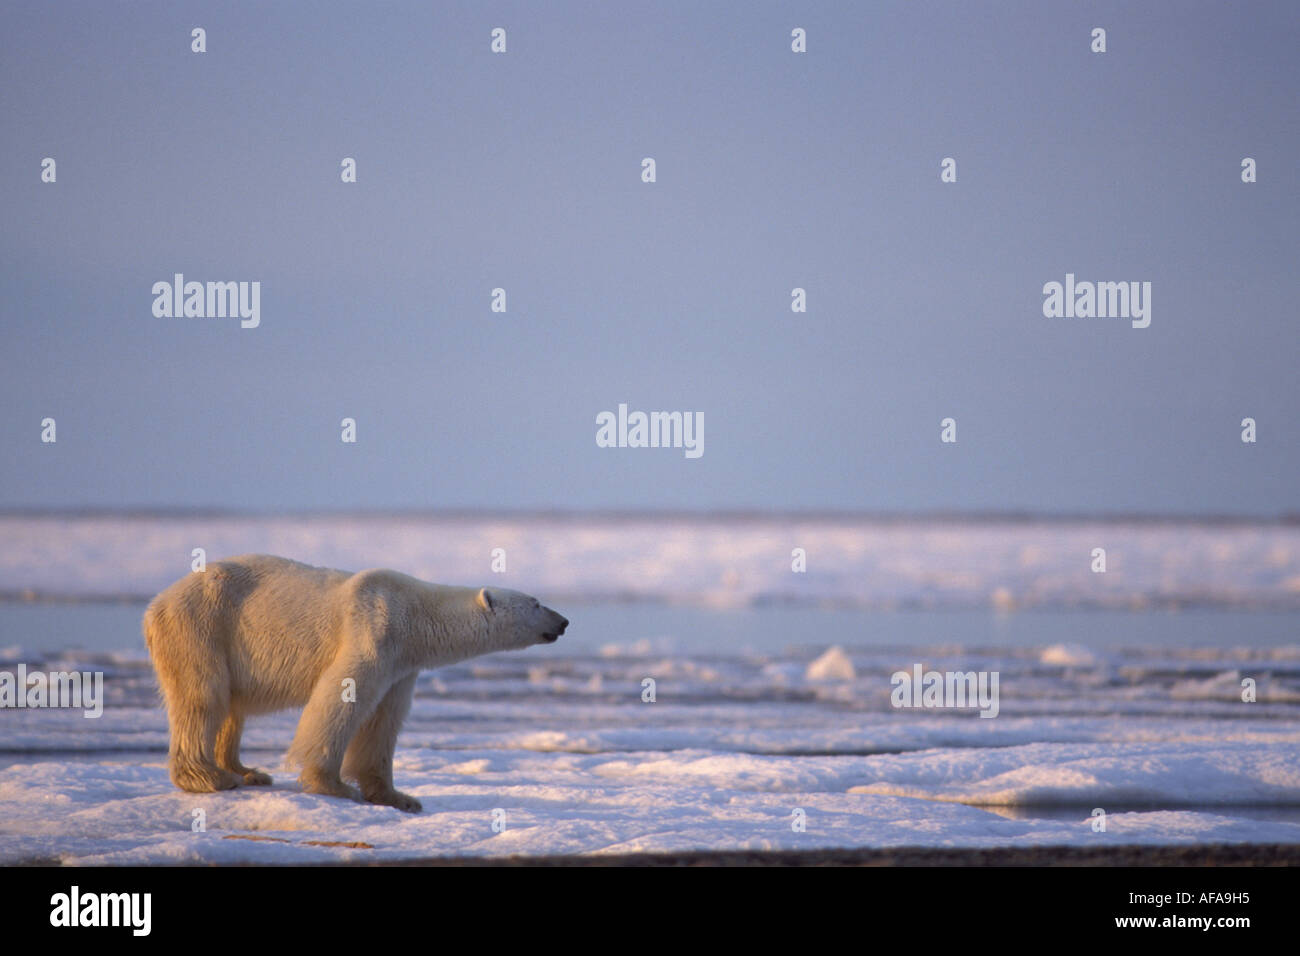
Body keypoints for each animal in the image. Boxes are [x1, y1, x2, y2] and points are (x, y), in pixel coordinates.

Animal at [143, 553, 567, 812]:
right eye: (535, 602)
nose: (563, 621)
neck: (414, 614)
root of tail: (155, 604)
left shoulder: (401, 666)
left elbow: (383, 722)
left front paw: (399, 797)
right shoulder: (372, 628)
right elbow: (340, 700)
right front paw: (332, 786)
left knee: (232, 707)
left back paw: (248, 771)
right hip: (202, 626)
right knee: (203, 697)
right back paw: (210, 777)